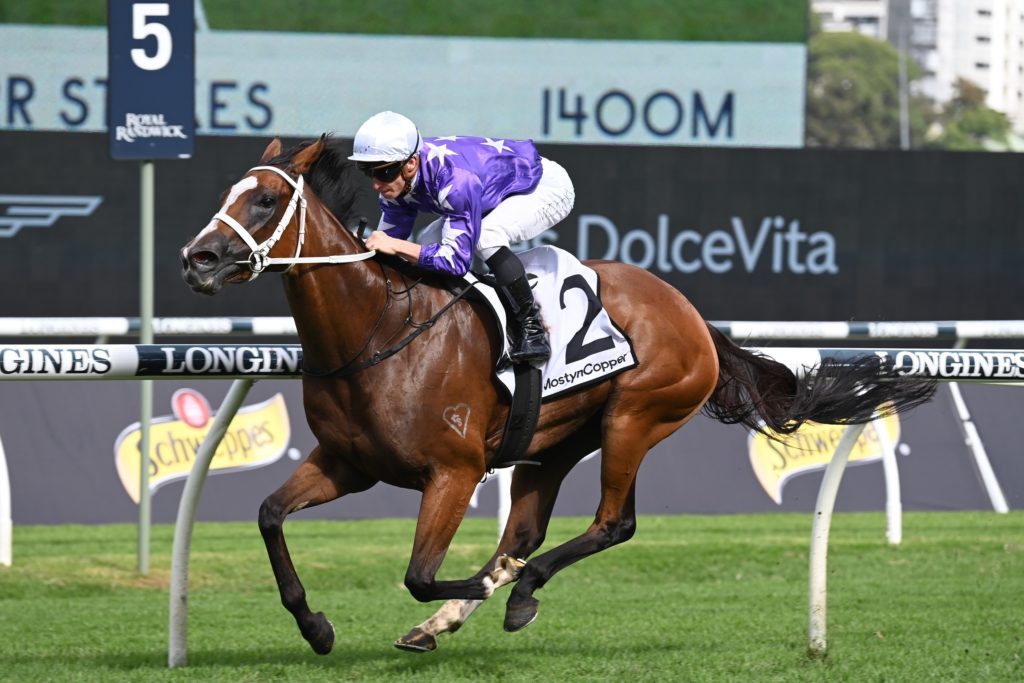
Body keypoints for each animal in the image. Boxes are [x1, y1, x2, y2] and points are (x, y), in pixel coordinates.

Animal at [180, 135, 936, 655]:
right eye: (225, 194)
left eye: (265, 200)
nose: (198, 258)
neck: (377, 330)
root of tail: (690, 313)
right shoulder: (348, 463)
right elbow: (269, 515)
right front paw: (316, 626)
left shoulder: (452, 472)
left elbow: (421, 571)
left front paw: (478, 587)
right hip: (553, 441)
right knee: (526, 529)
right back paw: (460, 611)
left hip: (636, 416)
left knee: (611, 523)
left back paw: (514, 591)